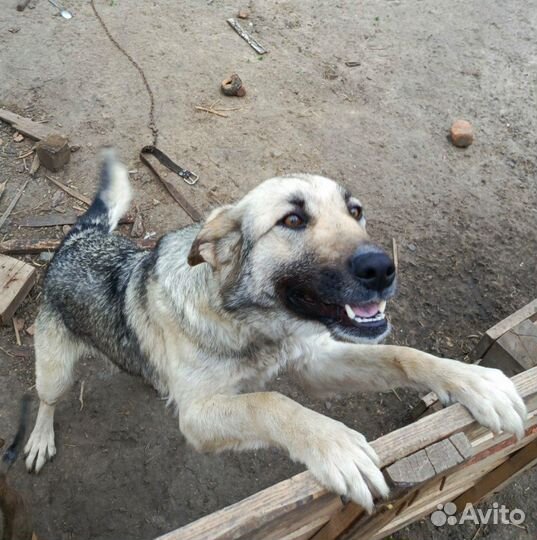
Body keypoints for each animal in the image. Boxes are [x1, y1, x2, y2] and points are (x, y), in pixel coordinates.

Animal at [23, 151, 524, 510]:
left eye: (356, 211)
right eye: (293, 220)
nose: (383, 268)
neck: (251, 325)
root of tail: (79, 238)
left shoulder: (316, 363)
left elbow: (403, 355)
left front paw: (472, 381)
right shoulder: (198, 416)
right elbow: (271, 401)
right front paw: (335, 446)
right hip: (55, 369)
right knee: (47, 400)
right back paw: (39, 440)